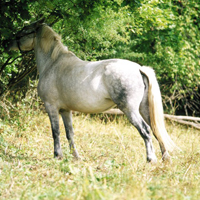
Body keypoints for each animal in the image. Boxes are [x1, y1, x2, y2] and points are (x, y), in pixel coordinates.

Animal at [8, 19, 179, 162]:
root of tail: (138, 68)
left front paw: (58, 155)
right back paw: (165, 158)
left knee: (146, 130)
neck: (53, 63)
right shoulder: (65, 110)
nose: (7, 44)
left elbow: (55, 131)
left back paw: (151, 159)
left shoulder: (51, 106)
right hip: (144, 108)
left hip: (130, 110)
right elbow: (69, 133)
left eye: (24, 31)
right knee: (156, 130)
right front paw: (76, 157)